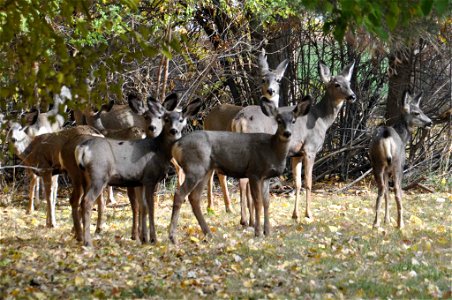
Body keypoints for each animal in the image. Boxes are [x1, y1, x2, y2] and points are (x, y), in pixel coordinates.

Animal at [76, 94, 201, 246]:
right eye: (166, 119)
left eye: (181, 120)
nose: (174, 131)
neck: (158, 150)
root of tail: (82, 149)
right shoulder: (149, 178)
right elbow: (150, 207)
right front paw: (152, 238)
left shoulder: (141, 181)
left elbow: (144, 206)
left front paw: (144, 237)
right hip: (98, 176)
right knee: (87, 201)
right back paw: (88, 240)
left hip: (88, 178)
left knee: (82, 201)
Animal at [168, 97, 312, 243]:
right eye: (279, 120)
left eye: (293, 120)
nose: (287, 133)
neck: (271, 149)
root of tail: (176, 145)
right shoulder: (254, 172)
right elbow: (258, 201)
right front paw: (258, 232)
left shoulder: (266, 177)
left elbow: (266, 202)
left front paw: (267, 232)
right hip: (195, 168)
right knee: (180, 194)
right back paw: (173, 237)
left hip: (204, 170)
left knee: (194, 197)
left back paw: (208, 233)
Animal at [370, 90, 432, 229]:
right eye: (416, 112)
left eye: (421, 110)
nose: (430, 122)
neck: (403, 138)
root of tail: (386, 135)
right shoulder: (399, 165)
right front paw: (392, 221)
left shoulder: (386, 170)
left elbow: (387, 193)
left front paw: (386, 220)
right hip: (397, 164)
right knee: (397, 191)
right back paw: (400, 224)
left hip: (377, 164)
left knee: (381, 189)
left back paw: (375, 223)